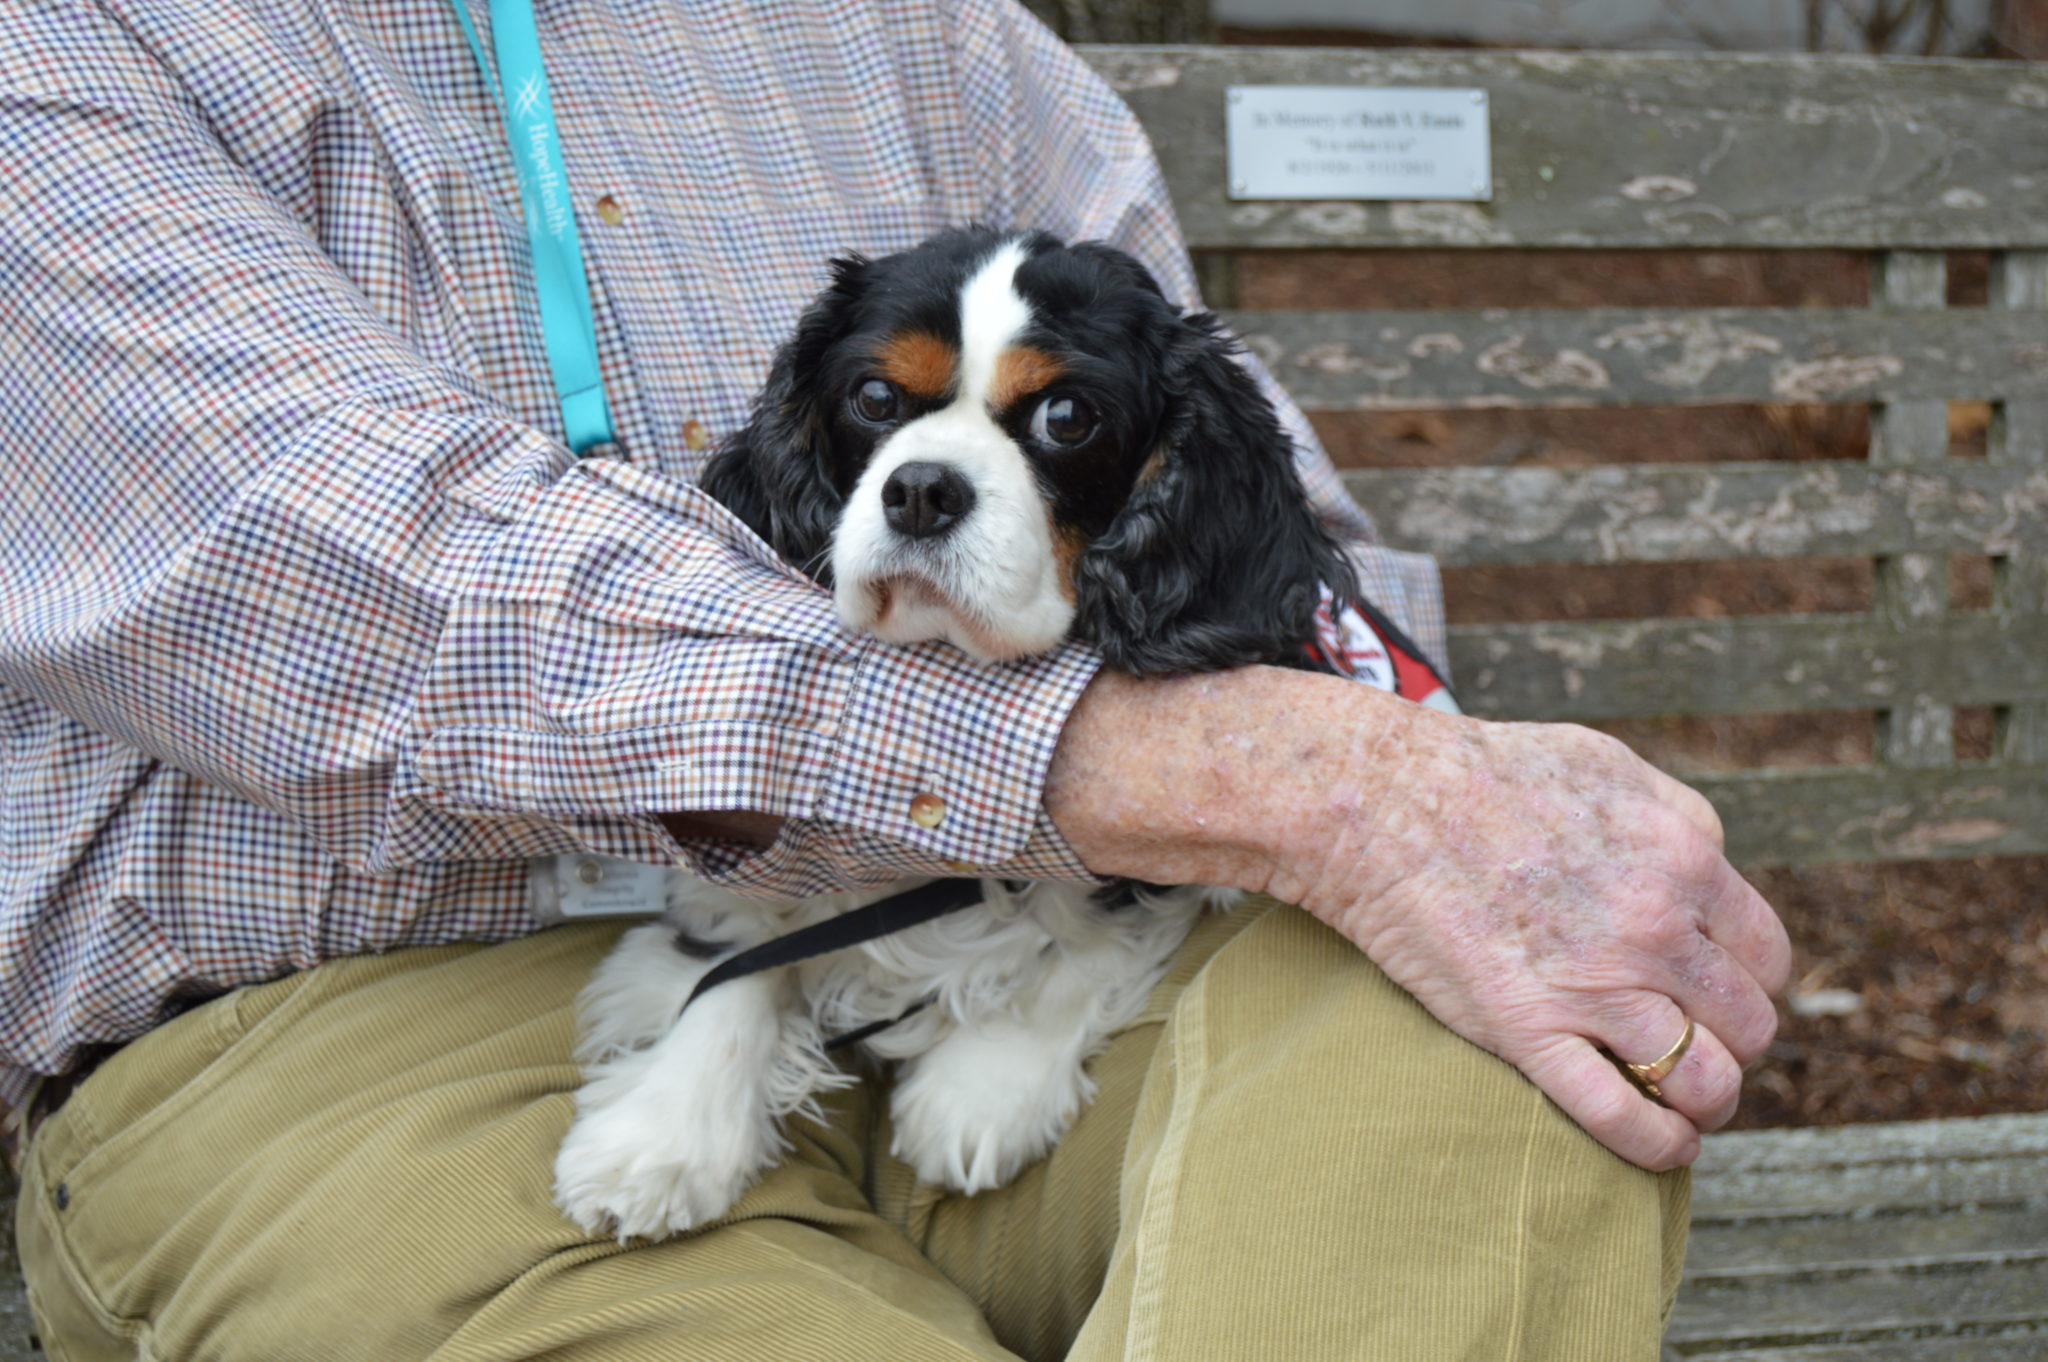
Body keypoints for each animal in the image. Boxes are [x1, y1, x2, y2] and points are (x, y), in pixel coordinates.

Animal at [548, 228, 1441, 1237]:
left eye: (1067, 417)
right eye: (875, 398)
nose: (922, 490)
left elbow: (1085, 947)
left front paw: (985, 1088)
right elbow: (743, 949)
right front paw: (668, 1129)